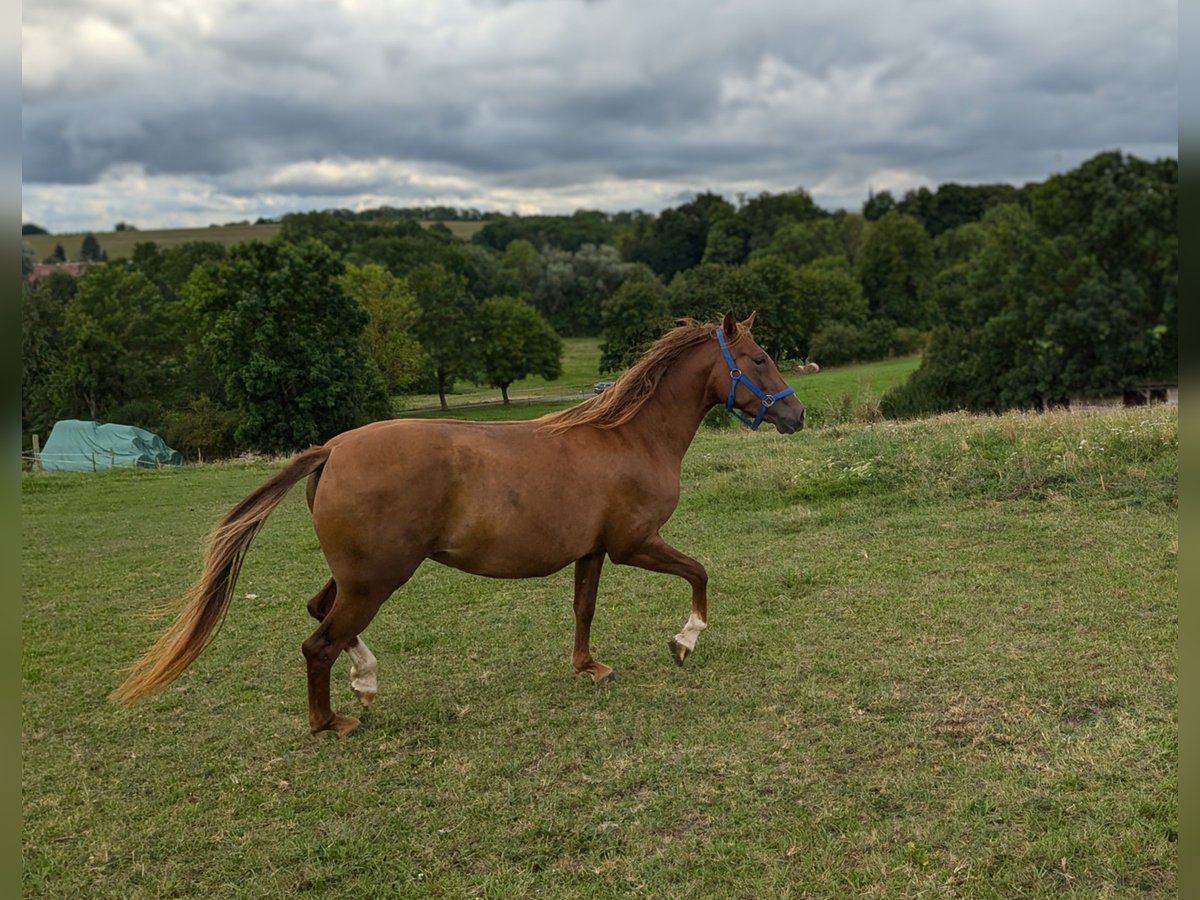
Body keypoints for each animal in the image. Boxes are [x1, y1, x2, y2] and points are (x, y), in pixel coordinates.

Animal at [112, 314, 806, 734]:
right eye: (759, 358)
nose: (796, 414)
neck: (627, 436)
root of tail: (331, 449)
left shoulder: (593, 551)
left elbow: (583, 609)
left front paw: (588, 667)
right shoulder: (635, 544)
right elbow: (699, 574)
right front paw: (685, 640)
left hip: (359, 576)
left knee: (321, 614)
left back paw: (365, 681)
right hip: (377, 579)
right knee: (318, 642)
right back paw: (331, 721)